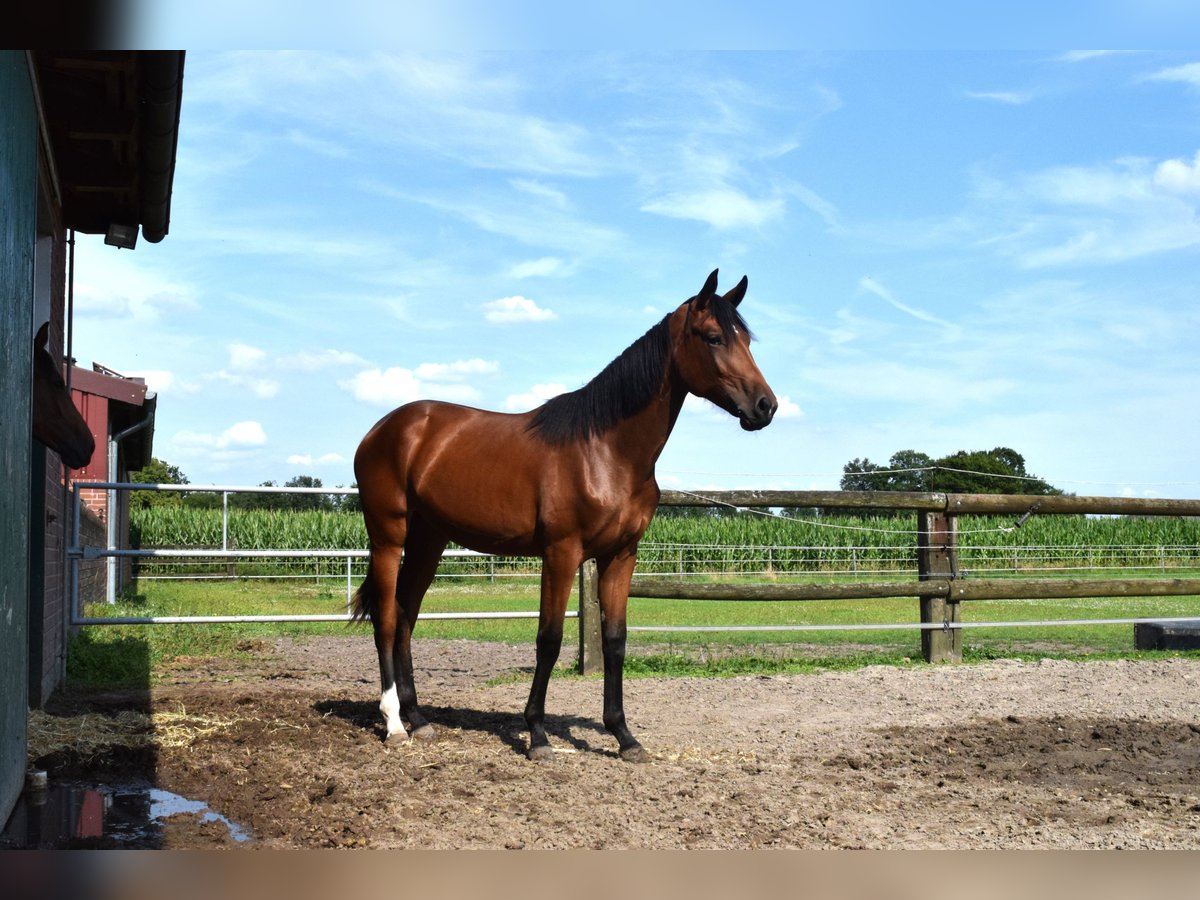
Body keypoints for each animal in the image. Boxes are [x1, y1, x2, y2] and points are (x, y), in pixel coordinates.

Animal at [350, 267, 777, 763]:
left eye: (746, 339)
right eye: (713, 337)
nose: (766, 406)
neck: (605, 451)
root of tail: (382, 429)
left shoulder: (620, 556)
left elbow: (615, 640)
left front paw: (624, 736)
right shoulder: (561, 553)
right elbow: (549, 640)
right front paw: (537, 735)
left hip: (429, 540)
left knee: (405, 616)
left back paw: (418, 719)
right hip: (388, 535)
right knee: (385, 618)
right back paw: (395, 723)